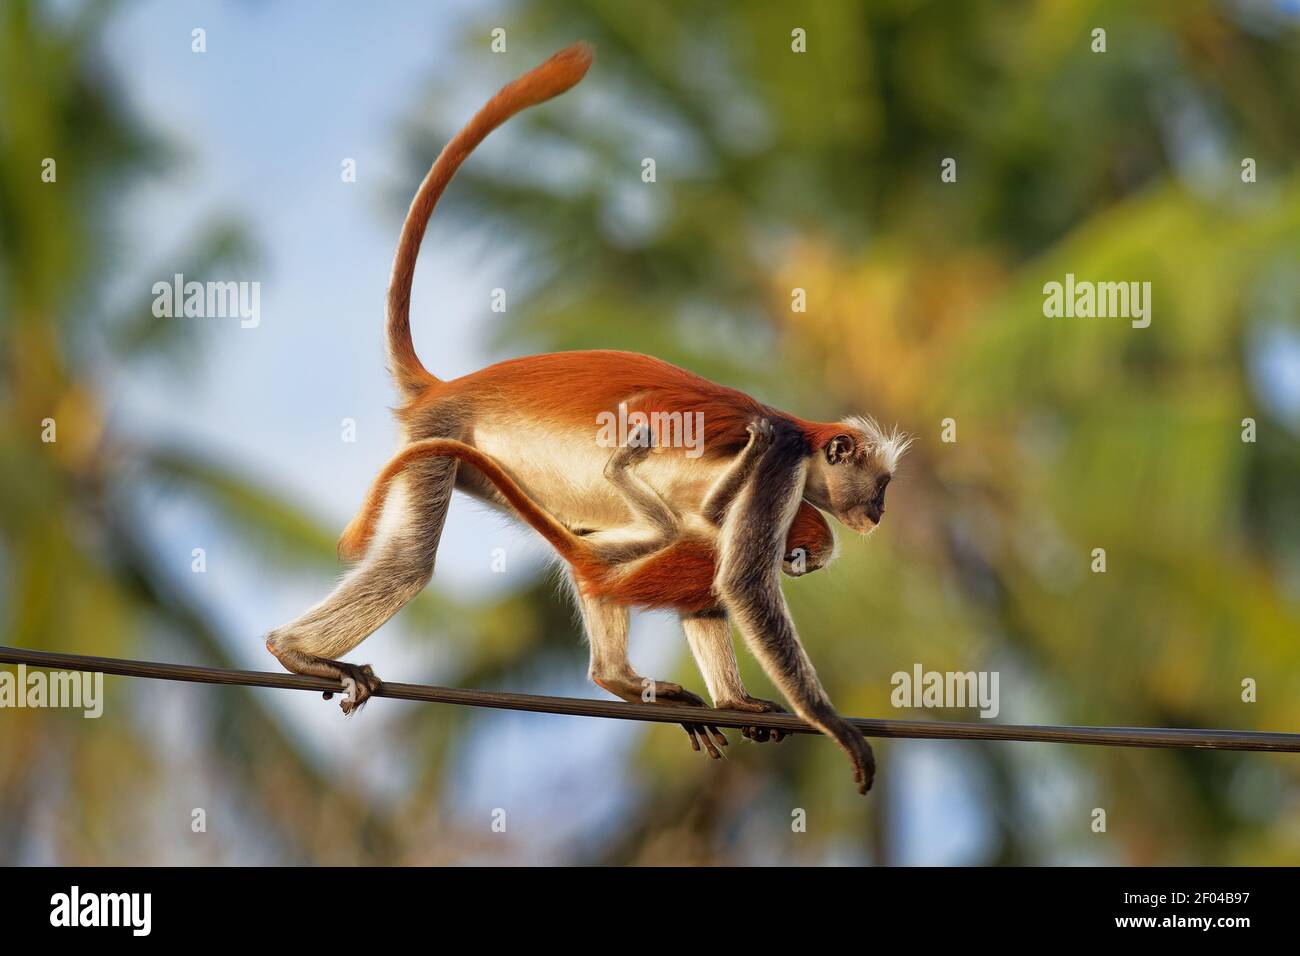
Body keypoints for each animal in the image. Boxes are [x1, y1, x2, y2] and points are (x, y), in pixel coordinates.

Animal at [319, 418, 837, 754]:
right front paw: (757, 447)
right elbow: (714, 529)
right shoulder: (737, 531)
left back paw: (619, 677)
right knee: (668, 535)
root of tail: (594, 561)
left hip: (613, 560)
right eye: (804, 558)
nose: (801, 570)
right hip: (628, 555)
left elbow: (707, 603)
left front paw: (737, 704)